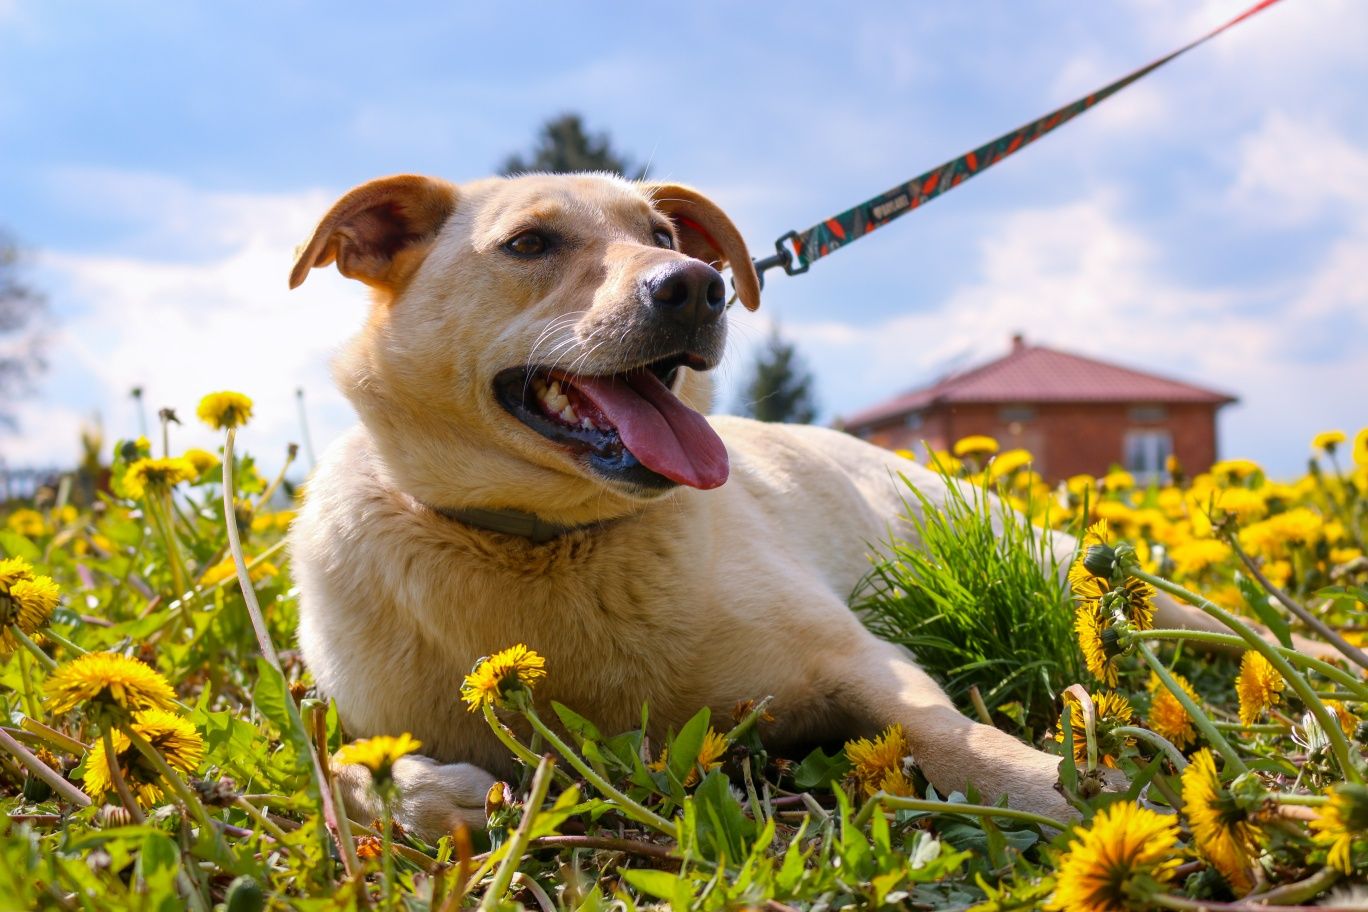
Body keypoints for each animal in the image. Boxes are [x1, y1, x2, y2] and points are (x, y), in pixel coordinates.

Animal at [291, 170, 1302, 842]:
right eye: (529, 243)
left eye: (664, 233)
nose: (696, 284)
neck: (547, 541)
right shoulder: (365, 723)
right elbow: (342, 770)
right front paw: (437, 798)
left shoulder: (863, 662)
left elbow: (955, 735)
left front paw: (1064, 791)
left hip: (1099, 587)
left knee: (1256, 635)